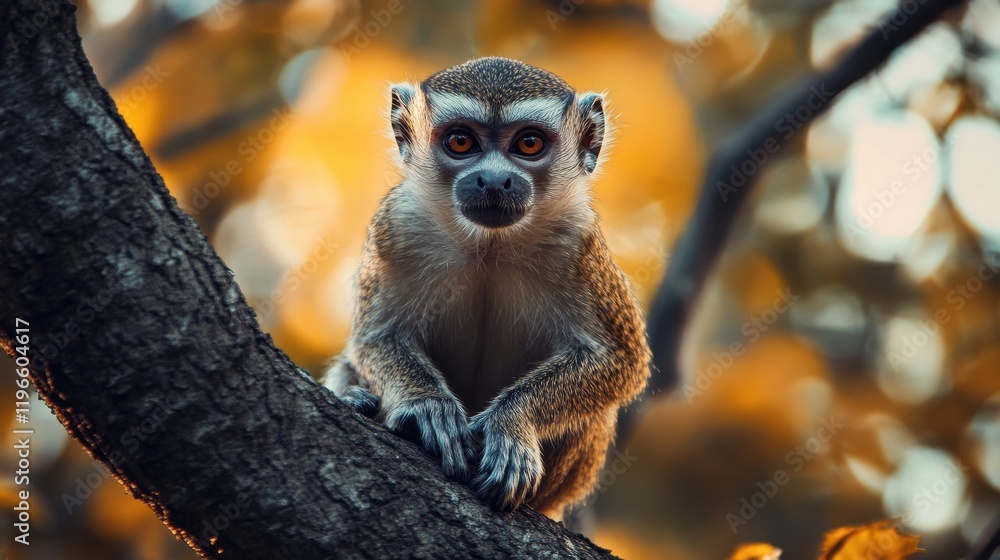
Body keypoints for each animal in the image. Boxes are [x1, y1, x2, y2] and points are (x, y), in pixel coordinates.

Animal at [323, 57, 650, 521]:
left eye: (528, 144)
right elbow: (374, 339)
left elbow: (621, 360)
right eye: (461, 142)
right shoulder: (397, 223)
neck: (487, 246)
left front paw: (510, 424)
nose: (494, 181)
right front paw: (428, 406)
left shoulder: (579, 240)